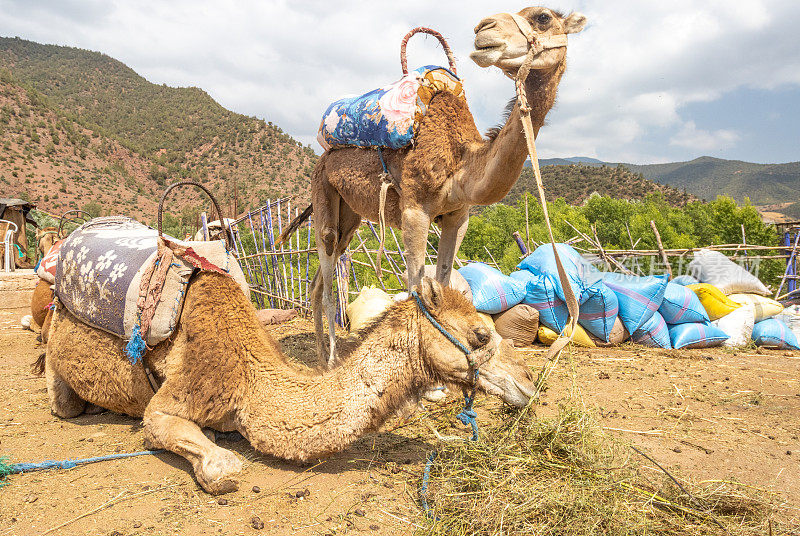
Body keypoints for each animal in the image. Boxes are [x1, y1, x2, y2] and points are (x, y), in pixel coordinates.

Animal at [42, 272, 532, 494]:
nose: (528, 383)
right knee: (63, 399)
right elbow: (222, 466)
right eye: (481, 335)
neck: (251, 381)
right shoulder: (172, 399)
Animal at [282, 6, 588, 362]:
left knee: (319, 278)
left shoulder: (458, 216)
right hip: (322, 192)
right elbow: (417, 289)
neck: (461, 165)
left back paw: (319, 352)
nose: (484, 29)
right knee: (328, 268)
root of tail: (323, 156)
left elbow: (442, 283)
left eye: (542, 17)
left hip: (351, 215)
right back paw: (331, 358)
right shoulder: (415, 211)